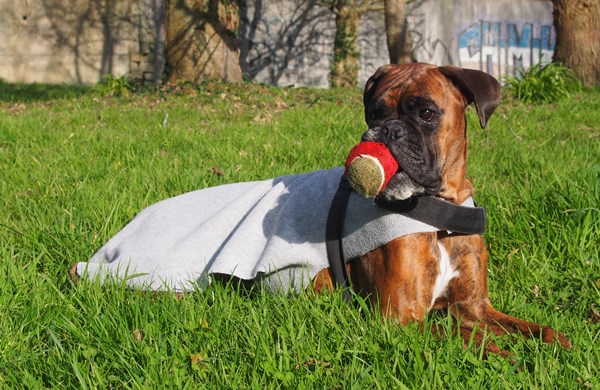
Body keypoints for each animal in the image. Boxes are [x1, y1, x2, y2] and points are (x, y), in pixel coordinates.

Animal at [312, 62, 568, 354]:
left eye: (426, 113)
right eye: (374, 113)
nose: (388, 130)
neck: (440, 221)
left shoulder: (475, 307)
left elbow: (528, 327)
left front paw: (556, 343)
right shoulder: (401, 318)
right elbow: (467, 337)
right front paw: (507, 356)